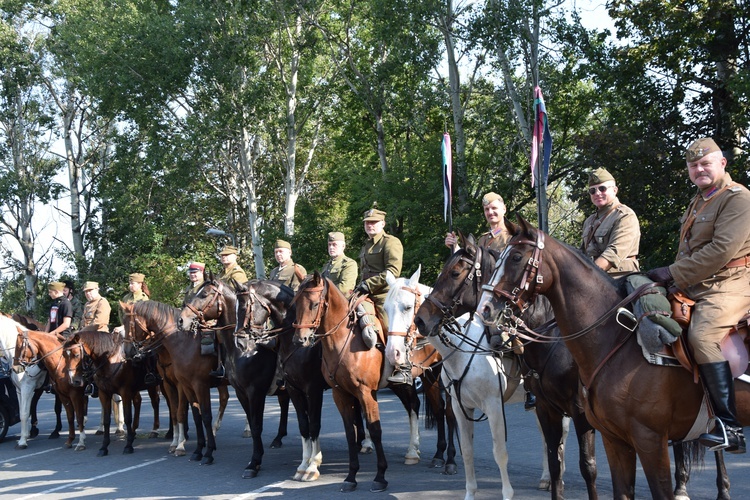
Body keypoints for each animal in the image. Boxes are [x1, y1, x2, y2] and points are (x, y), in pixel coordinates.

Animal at [120, 296, 229, 464]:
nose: (127, 352)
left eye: (129, 324)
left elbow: (181, 412)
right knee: (224, 398)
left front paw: (181, 445)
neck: (182, 344)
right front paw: (175, 442)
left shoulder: (185, 386)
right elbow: (174, 412)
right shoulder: (169, 384)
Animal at [178, 280, 290, 478]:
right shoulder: (239, 392)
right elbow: (250, 423)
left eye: (204, 294)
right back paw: (278, 438)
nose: (182, 320)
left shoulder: (255, 392)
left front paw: (253, 463)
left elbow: (255, 424)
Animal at [294, 270, 426, 492]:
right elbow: (350, 432)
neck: (343, 341)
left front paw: (380, 476)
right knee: (413, 405)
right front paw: (351, 477)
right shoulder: (340, 393)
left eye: (314, 304)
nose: (299, 340)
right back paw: (413, 451)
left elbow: (375, 429)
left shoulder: (366, 392)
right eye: (295, 303)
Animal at [388, 270, 516, 500]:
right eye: (384, 308)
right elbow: (467, 450)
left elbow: (500, 452)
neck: (464, 347)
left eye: (407, 307)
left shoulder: (494, 406)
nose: (392, 353)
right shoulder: (461, 405)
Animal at [484, 216, 748, 500]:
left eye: (516, 257)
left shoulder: (644, 438)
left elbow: (588, 466)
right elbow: (560, 465)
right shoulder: (598, 431)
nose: (486, 310)